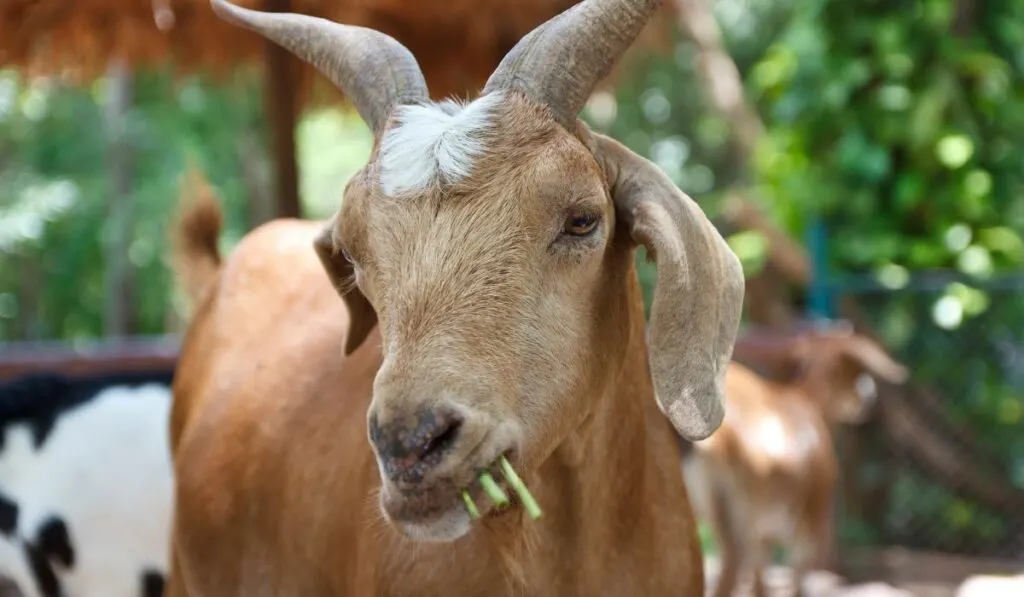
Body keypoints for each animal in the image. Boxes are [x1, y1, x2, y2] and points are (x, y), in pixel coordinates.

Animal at [682, 327, 909, 597]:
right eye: (854, 370)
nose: (869, 397)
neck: (809, 402)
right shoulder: (809, 518)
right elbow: (798, 578)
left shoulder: (763, 534)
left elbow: (760, 581)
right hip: (733, 512)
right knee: (732, 562)